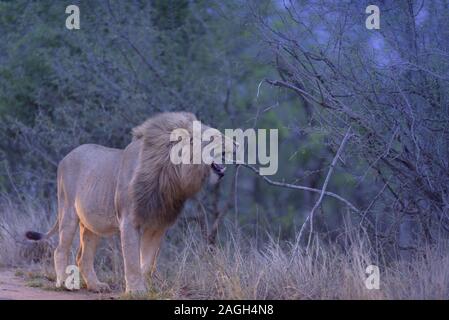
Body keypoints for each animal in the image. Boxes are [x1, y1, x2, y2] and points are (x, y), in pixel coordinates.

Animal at [25, 112, 233, 292]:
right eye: (214, 138)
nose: (236, 143)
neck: (172, 174)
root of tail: (67, 156)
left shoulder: (157, 225)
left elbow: (147, 263)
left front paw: (145, 288)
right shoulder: (129, 221)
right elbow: (132, 260)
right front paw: (136, 291)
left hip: (92, 223)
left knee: (83, 257)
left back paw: (96, 286)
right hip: (68, 211)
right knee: (60, 249)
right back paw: (64, 283)